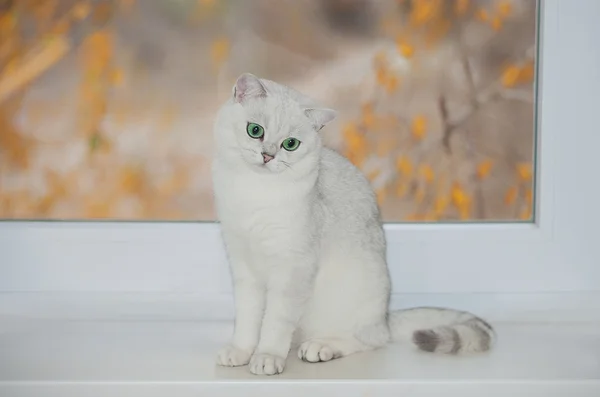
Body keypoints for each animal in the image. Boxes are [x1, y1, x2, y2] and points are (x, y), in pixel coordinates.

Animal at [213, 73, 494, 374]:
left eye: (290, 144)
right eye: (255, 130)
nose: (268, 156)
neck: (254, 192)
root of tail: (385, 317)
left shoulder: (294, 267)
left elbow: (276, 322)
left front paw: (267, 357)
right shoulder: (243, 264)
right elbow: (248, 318)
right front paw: (241, 351)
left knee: (371, 339)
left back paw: (322, 347)